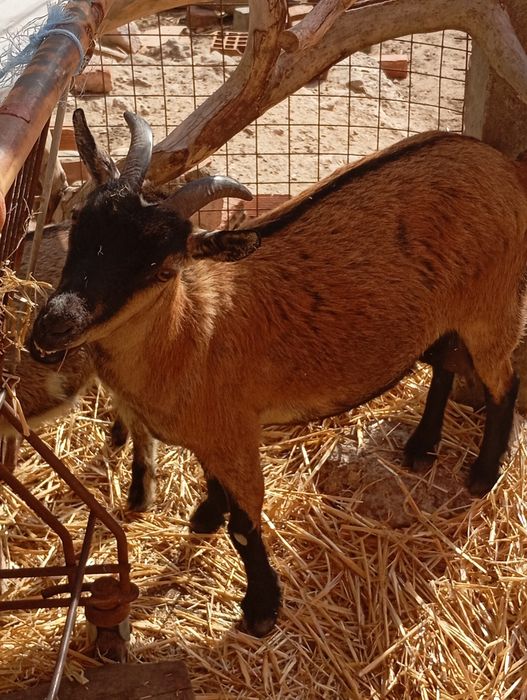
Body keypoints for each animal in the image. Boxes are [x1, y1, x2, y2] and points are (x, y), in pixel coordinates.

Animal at [30, 109, 527, 637]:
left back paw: (481, 475)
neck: (191, 334)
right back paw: (421, 447)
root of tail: (501, 165)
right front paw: (206, 515)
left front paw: (261, 609)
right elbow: (212, 481)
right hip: (446, 313)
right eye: (80, 223)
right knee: (446, 363)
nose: (55, 323)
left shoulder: (235, 433)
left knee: (503, 381)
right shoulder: (212, 435)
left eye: (162, 269)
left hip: (492, 304)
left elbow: (245, 527)